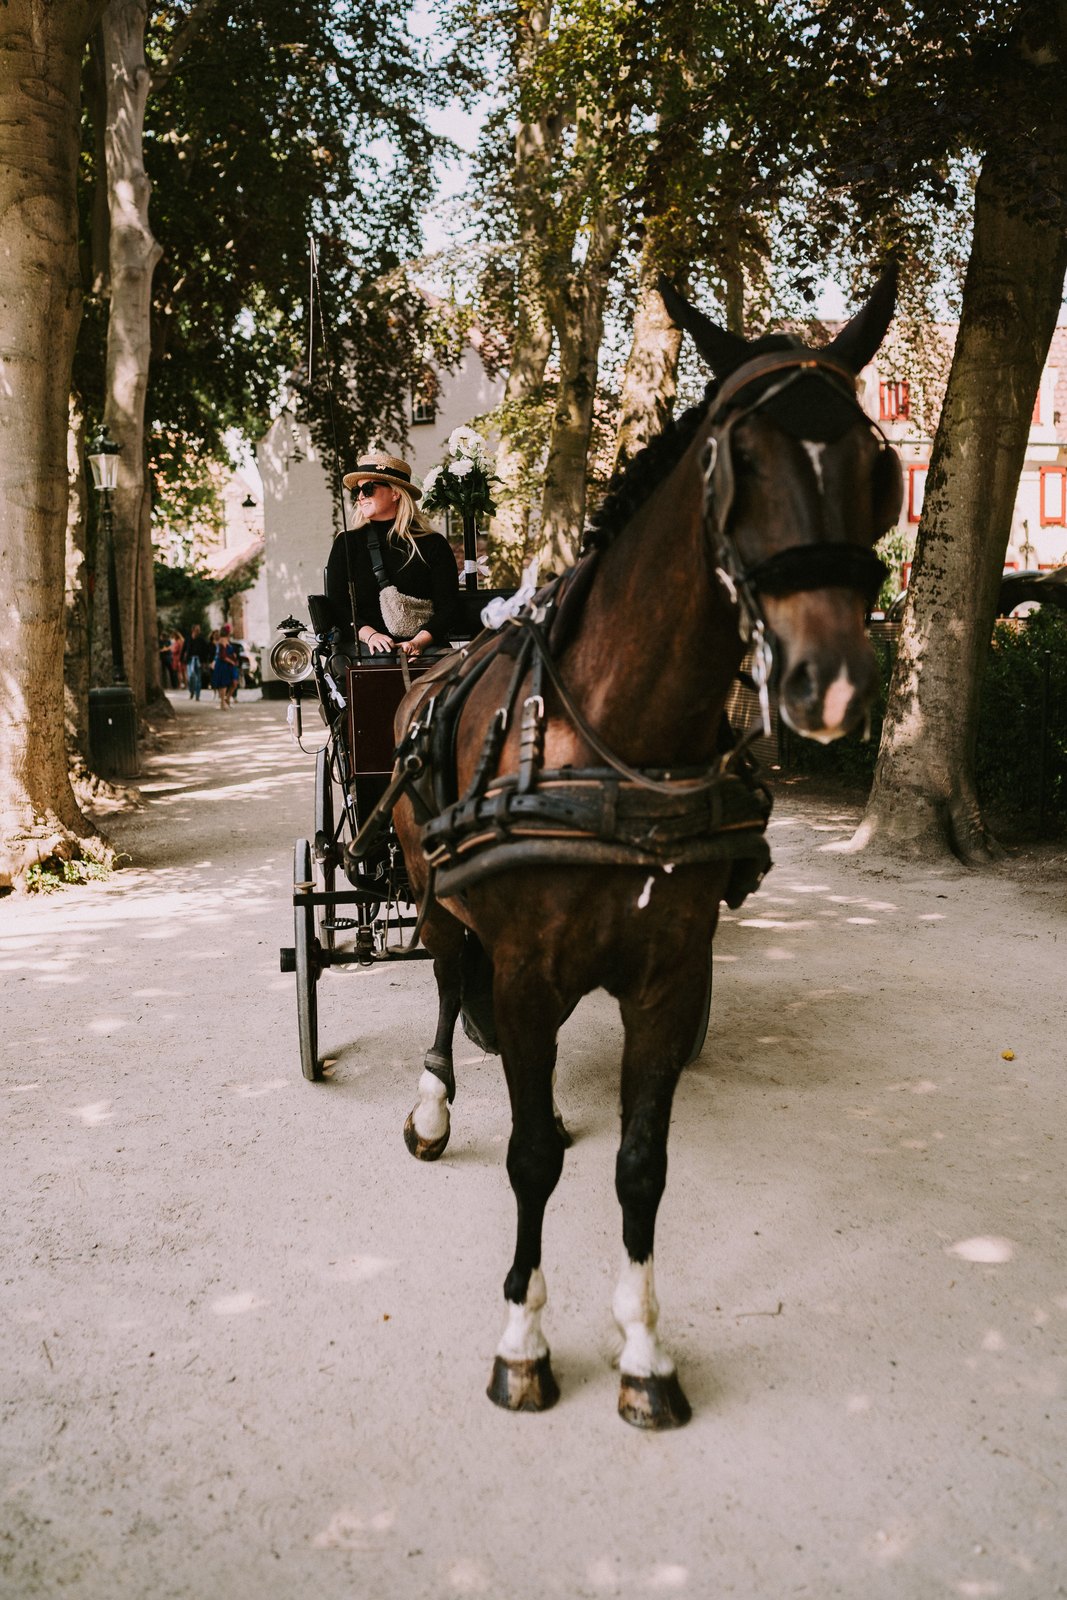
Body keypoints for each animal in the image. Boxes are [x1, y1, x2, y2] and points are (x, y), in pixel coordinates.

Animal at [387, 269, 904, 1429]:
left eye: (876, 466)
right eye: (738, 457)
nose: (833, 683)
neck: (617, 748)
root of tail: (435, 661)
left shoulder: (668, 973)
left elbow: (638, 1165)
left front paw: (641, 1348)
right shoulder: (526, 970)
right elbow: (530, 1159)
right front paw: (523, 1339)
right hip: (431, 892)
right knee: (443, 983)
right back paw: (434, 1102)